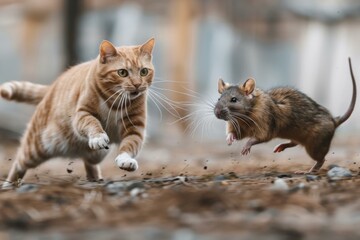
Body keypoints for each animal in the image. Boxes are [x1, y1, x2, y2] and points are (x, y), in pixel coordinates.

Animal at [0, 38, 155, 188]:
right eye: (122, 72)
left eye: (144, 71)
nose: (137, 84)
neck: (115, 102)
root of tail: (52, 86)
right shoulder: (82, 114)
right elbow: (93, 122)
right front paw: (98, 136)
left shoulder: (135, 128)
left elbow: (130, 144)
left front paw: (125, 160)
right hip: (36, 148)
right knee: (18, 163)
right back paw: (9, 185)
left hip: (98, 154)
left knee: (90, 163)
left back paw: (95, 180)